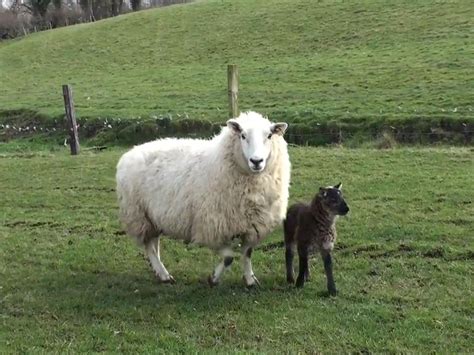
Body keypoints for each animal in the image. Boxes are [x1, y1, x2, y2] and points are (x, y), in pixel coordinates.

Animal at [116, 112, 290, 288]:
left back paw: (157, 270)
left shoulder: (251, 226)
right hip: (139, 215)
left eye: (269, 135)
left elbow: (247, 253)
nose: (256, 161)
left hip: (153, 217)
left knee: (154, 243)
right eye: (242, 135)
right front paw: (213, 279)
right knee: (149, 246)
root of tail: (131, 151)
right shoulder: (211, 226)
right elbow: (228, 257)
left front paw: (250, 279)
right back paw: (164, 274)